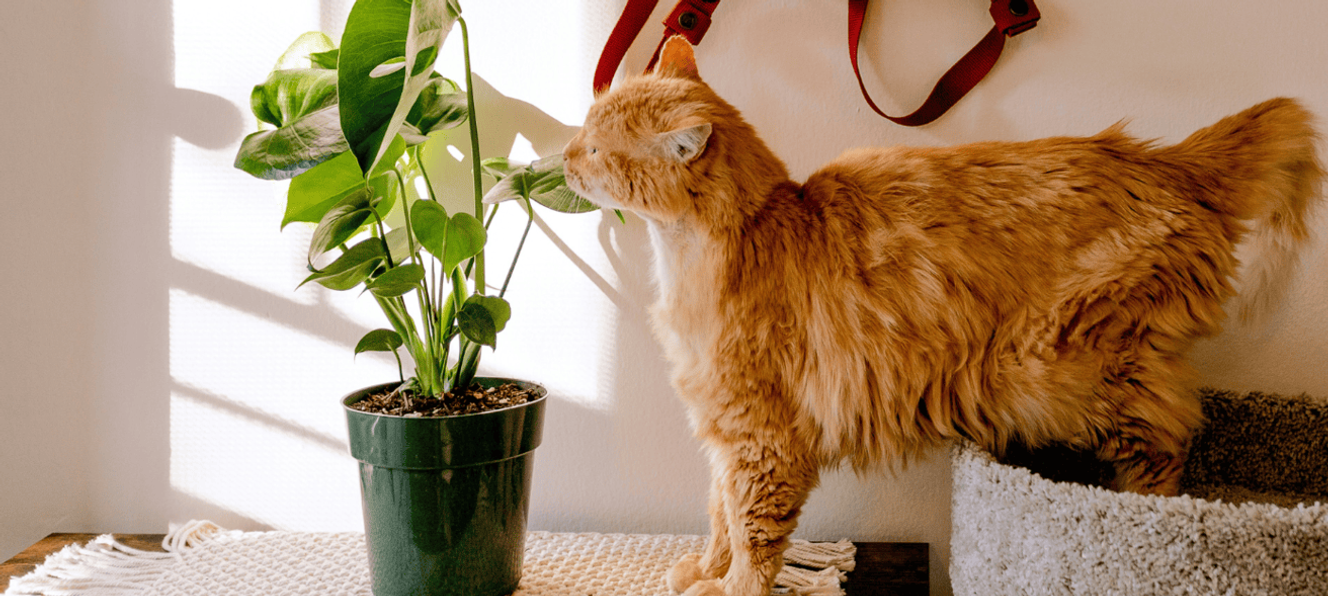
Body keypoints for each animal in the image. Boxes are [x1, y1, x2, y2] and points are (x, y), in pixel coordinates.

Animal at [557, 36, 1317, 594]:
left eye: (594, 146)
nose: (561, 157)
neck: (722, 244)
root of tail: (1164, 160)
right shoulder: (725, 428)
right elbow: (718, 513)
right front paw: (704, 569)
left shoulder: (762, 435)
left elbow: (753, 531)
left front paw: (734, 587)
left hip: (1089, 370)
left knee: (1169, 445)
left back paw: (1141, 508)